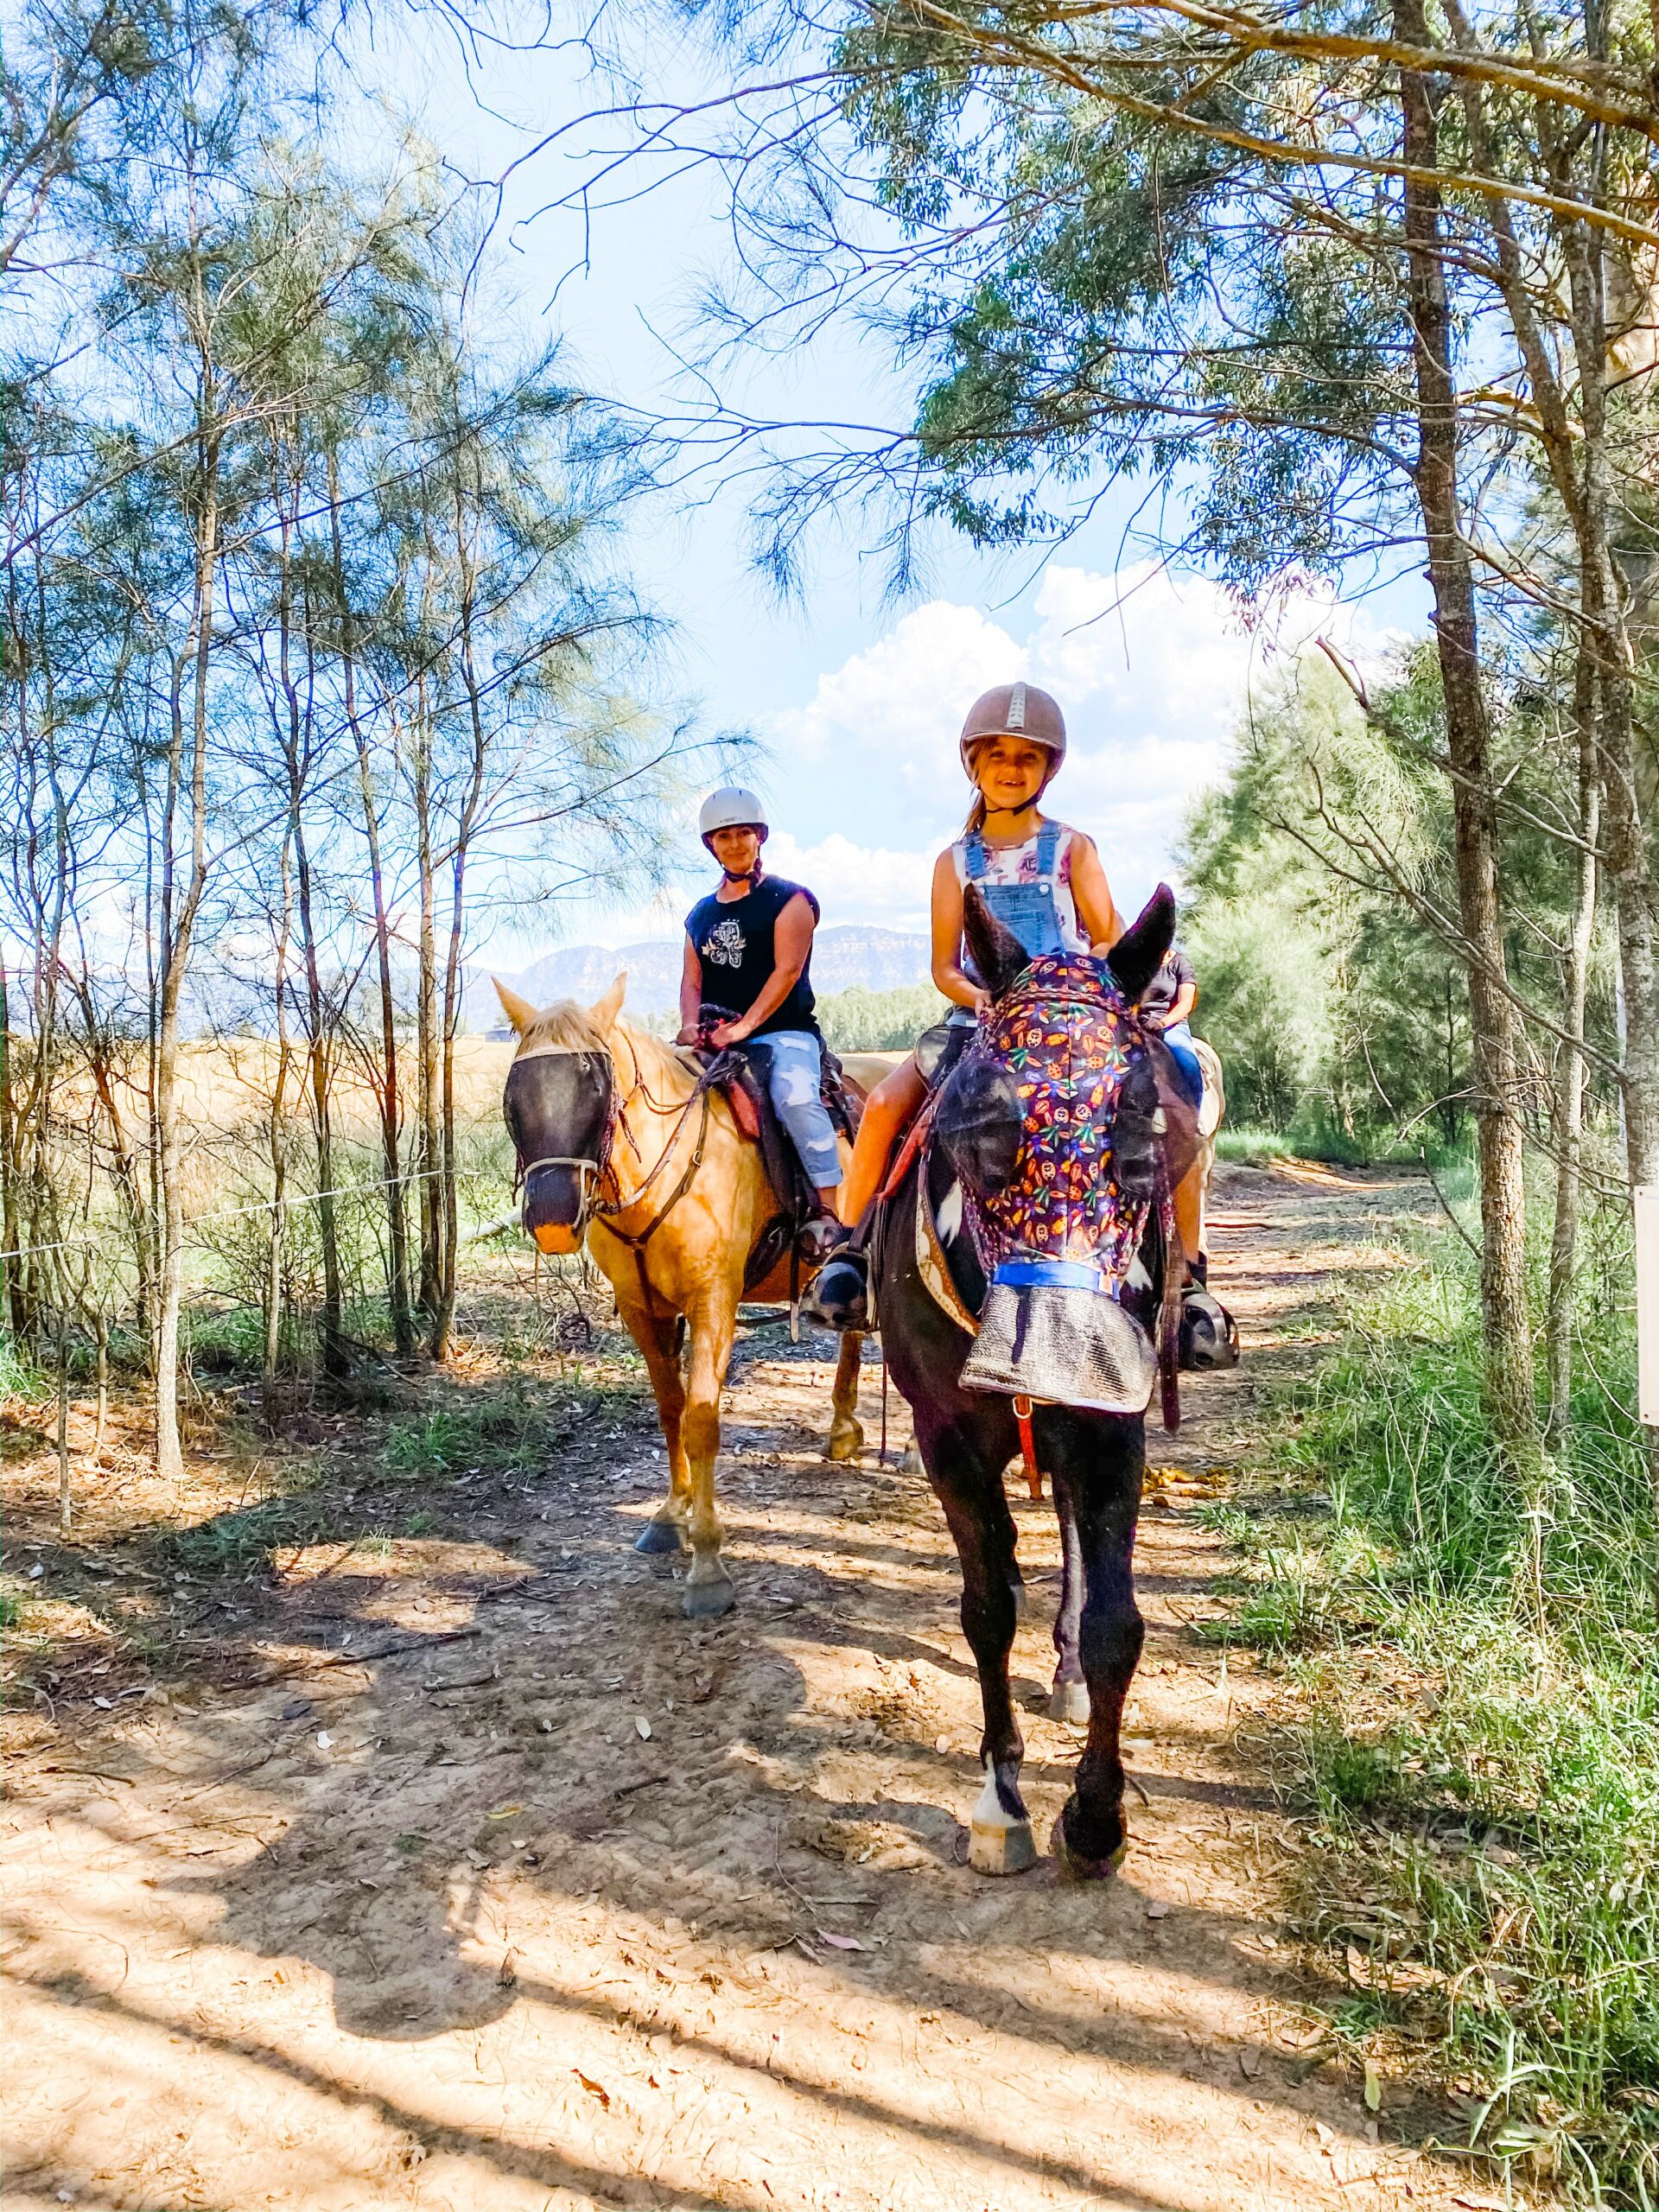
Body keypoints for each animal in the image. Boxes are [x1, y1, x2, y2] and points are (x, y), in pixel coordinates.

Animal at [498, 986, 898, 1628]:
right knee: (853, 1333)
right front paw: (670, 1514)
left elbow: (702, 1421)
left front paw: (708, 1564)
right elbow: (671, 1411)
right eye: (515, 1093)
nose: (554, 1218)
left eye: (596, 1086)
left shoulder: (714, 1303)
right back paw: (841, 1429)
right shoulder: (643, 1310)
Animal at [875, 889, 1203, 1875]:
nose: (1058, 1354)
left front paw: (1096, 1817)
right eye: (973, 1120)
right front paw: (1002, 1799)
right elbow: (988, 1606)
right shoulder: (945, 1435)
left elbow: (1116, 1625)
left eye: (1150, 1125)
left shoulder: (1112, 1426)